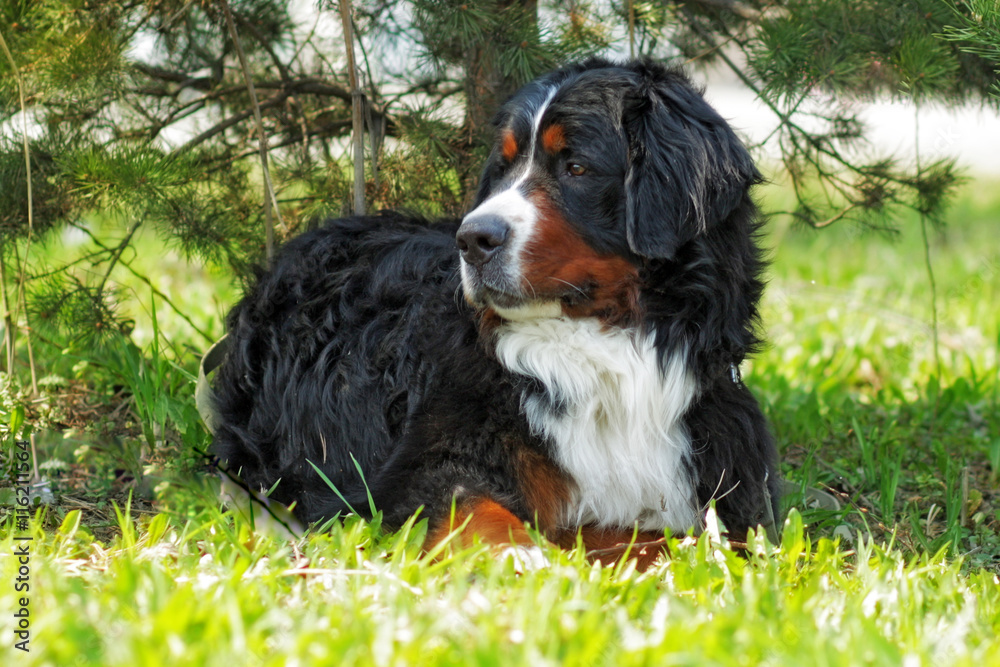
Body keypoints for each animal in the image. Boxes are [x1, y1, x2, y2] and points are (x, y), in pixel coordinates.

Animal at [211, 58, 780, 568]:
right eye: (503, 169)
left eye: (576, 166)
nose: (472, 239)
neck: (607, 353)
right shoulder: (413, 470)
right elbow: (471, 504)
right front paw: (518, 555)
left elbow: (677, 540)